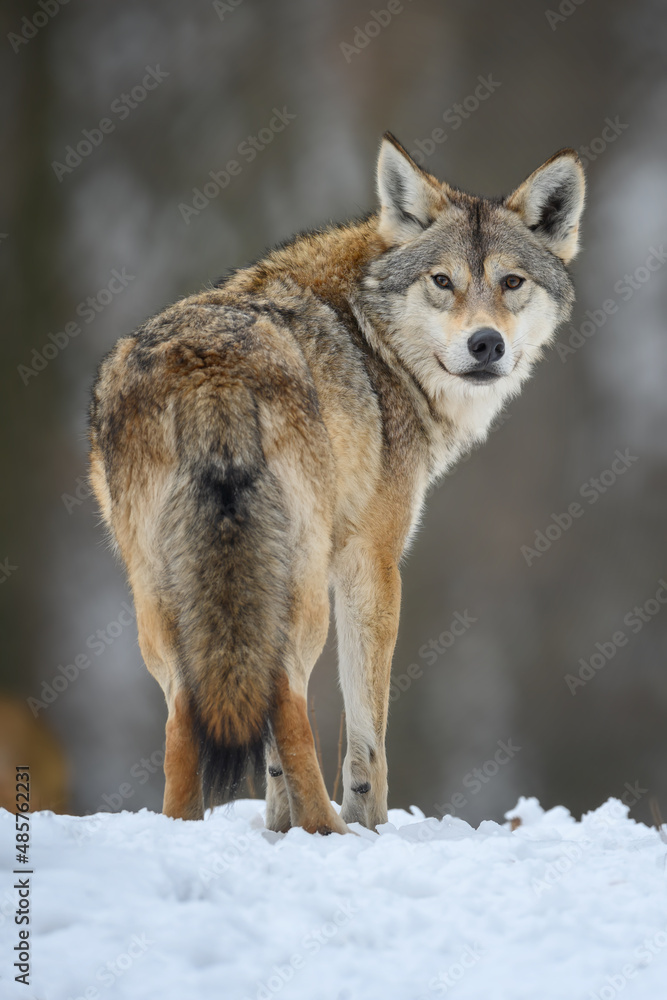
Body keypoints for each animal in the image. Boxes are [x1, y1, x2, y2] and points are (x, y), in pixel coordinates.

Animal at [89, 133, 585, 834]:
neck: (374, 339)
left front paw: (279, 829)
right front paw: (367, 824)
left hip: (163, 597)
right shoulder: (371, 562)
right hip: (298, 589)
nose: (486, 344)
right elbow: (368, 733)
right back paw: (331, 827)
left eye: (511, 282)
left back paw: (188, 828)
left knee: (189, 710)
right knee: (286, 697)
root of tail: (210, 370)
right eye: (443, 282)